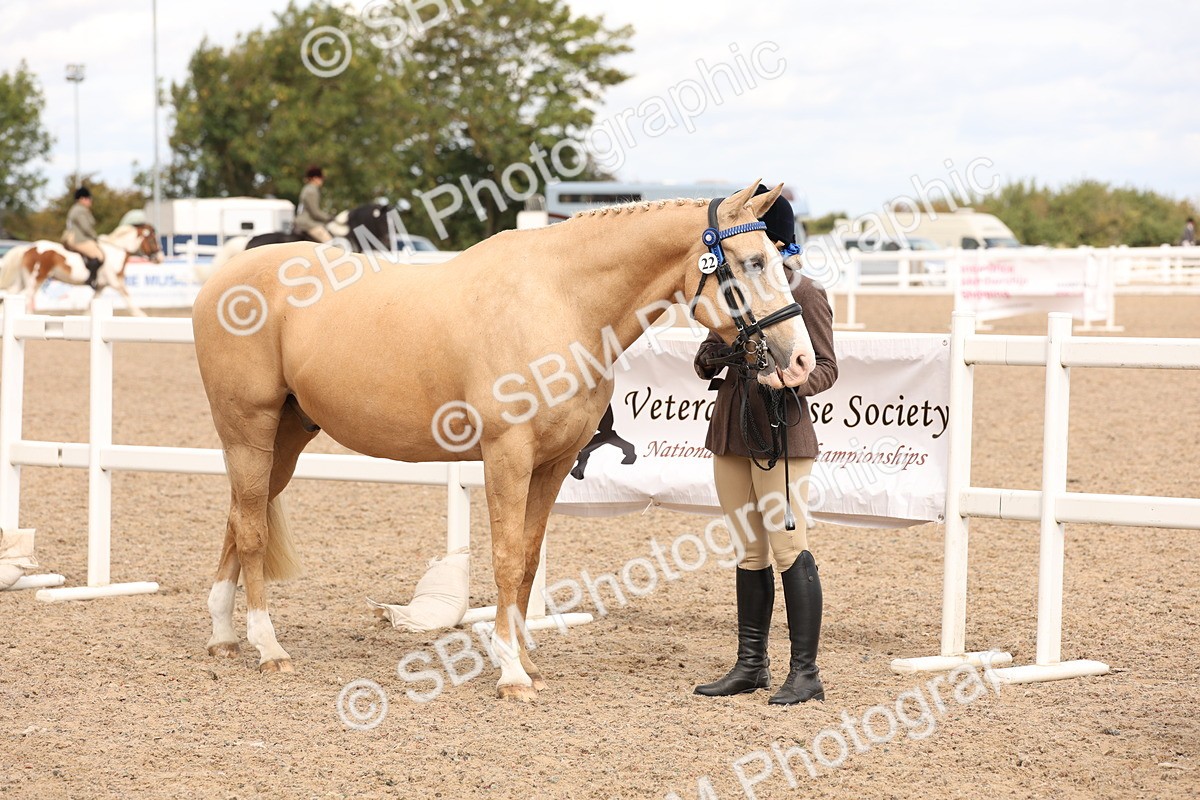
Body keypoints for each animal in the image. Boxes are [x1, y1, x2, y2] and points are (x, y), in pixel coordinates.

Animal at [0, 224, 163, 316]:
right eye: (152, 239)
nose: (160, 258)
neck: (116, 251)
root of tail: (28, 248)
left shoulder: (101, 286)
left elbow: (92, 302)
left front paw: (85, 316)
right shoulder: (115, 282)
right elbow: (127, 297)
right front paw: (141, 315)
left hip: (23, 280)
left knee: (11, 293)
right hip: (36, 279)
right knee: (28, 297)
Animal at [191, 180, 815, 701]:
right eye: (754, 261)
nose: (801, 362)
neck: (560, 300)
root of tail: (223, 277)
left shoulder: (554, 463)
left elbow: (530, 559)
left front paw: (522, 661)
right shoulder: (507, 456)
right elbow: (508, 559)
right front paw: (510, 672)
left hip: (285, 439)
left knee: (240, 516)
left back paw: (223, 636)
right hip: (247, 430)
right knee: (250, 529)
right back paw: (267, 647)